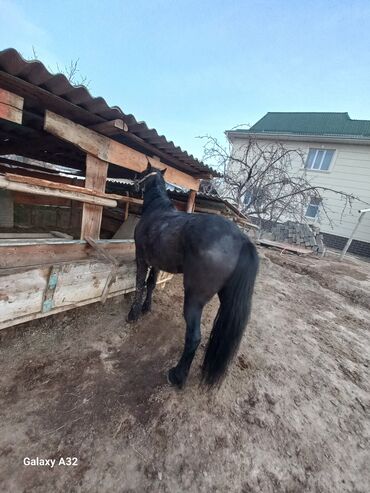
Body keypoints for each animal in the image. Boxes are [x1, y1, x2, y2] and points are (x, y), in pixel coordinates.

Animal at [127, 164, 258, 388]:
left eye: (143, 172)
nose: (134, 184)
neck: (156, 211)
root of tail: (242, 239)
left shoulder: (142, 259)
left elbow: (140, 284)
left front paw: (133, 314)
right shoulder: (157, 263)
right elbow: (151, 284)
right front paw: (146, 308)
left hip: (194, 299)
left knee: (194, 337)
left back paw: (177, 375)